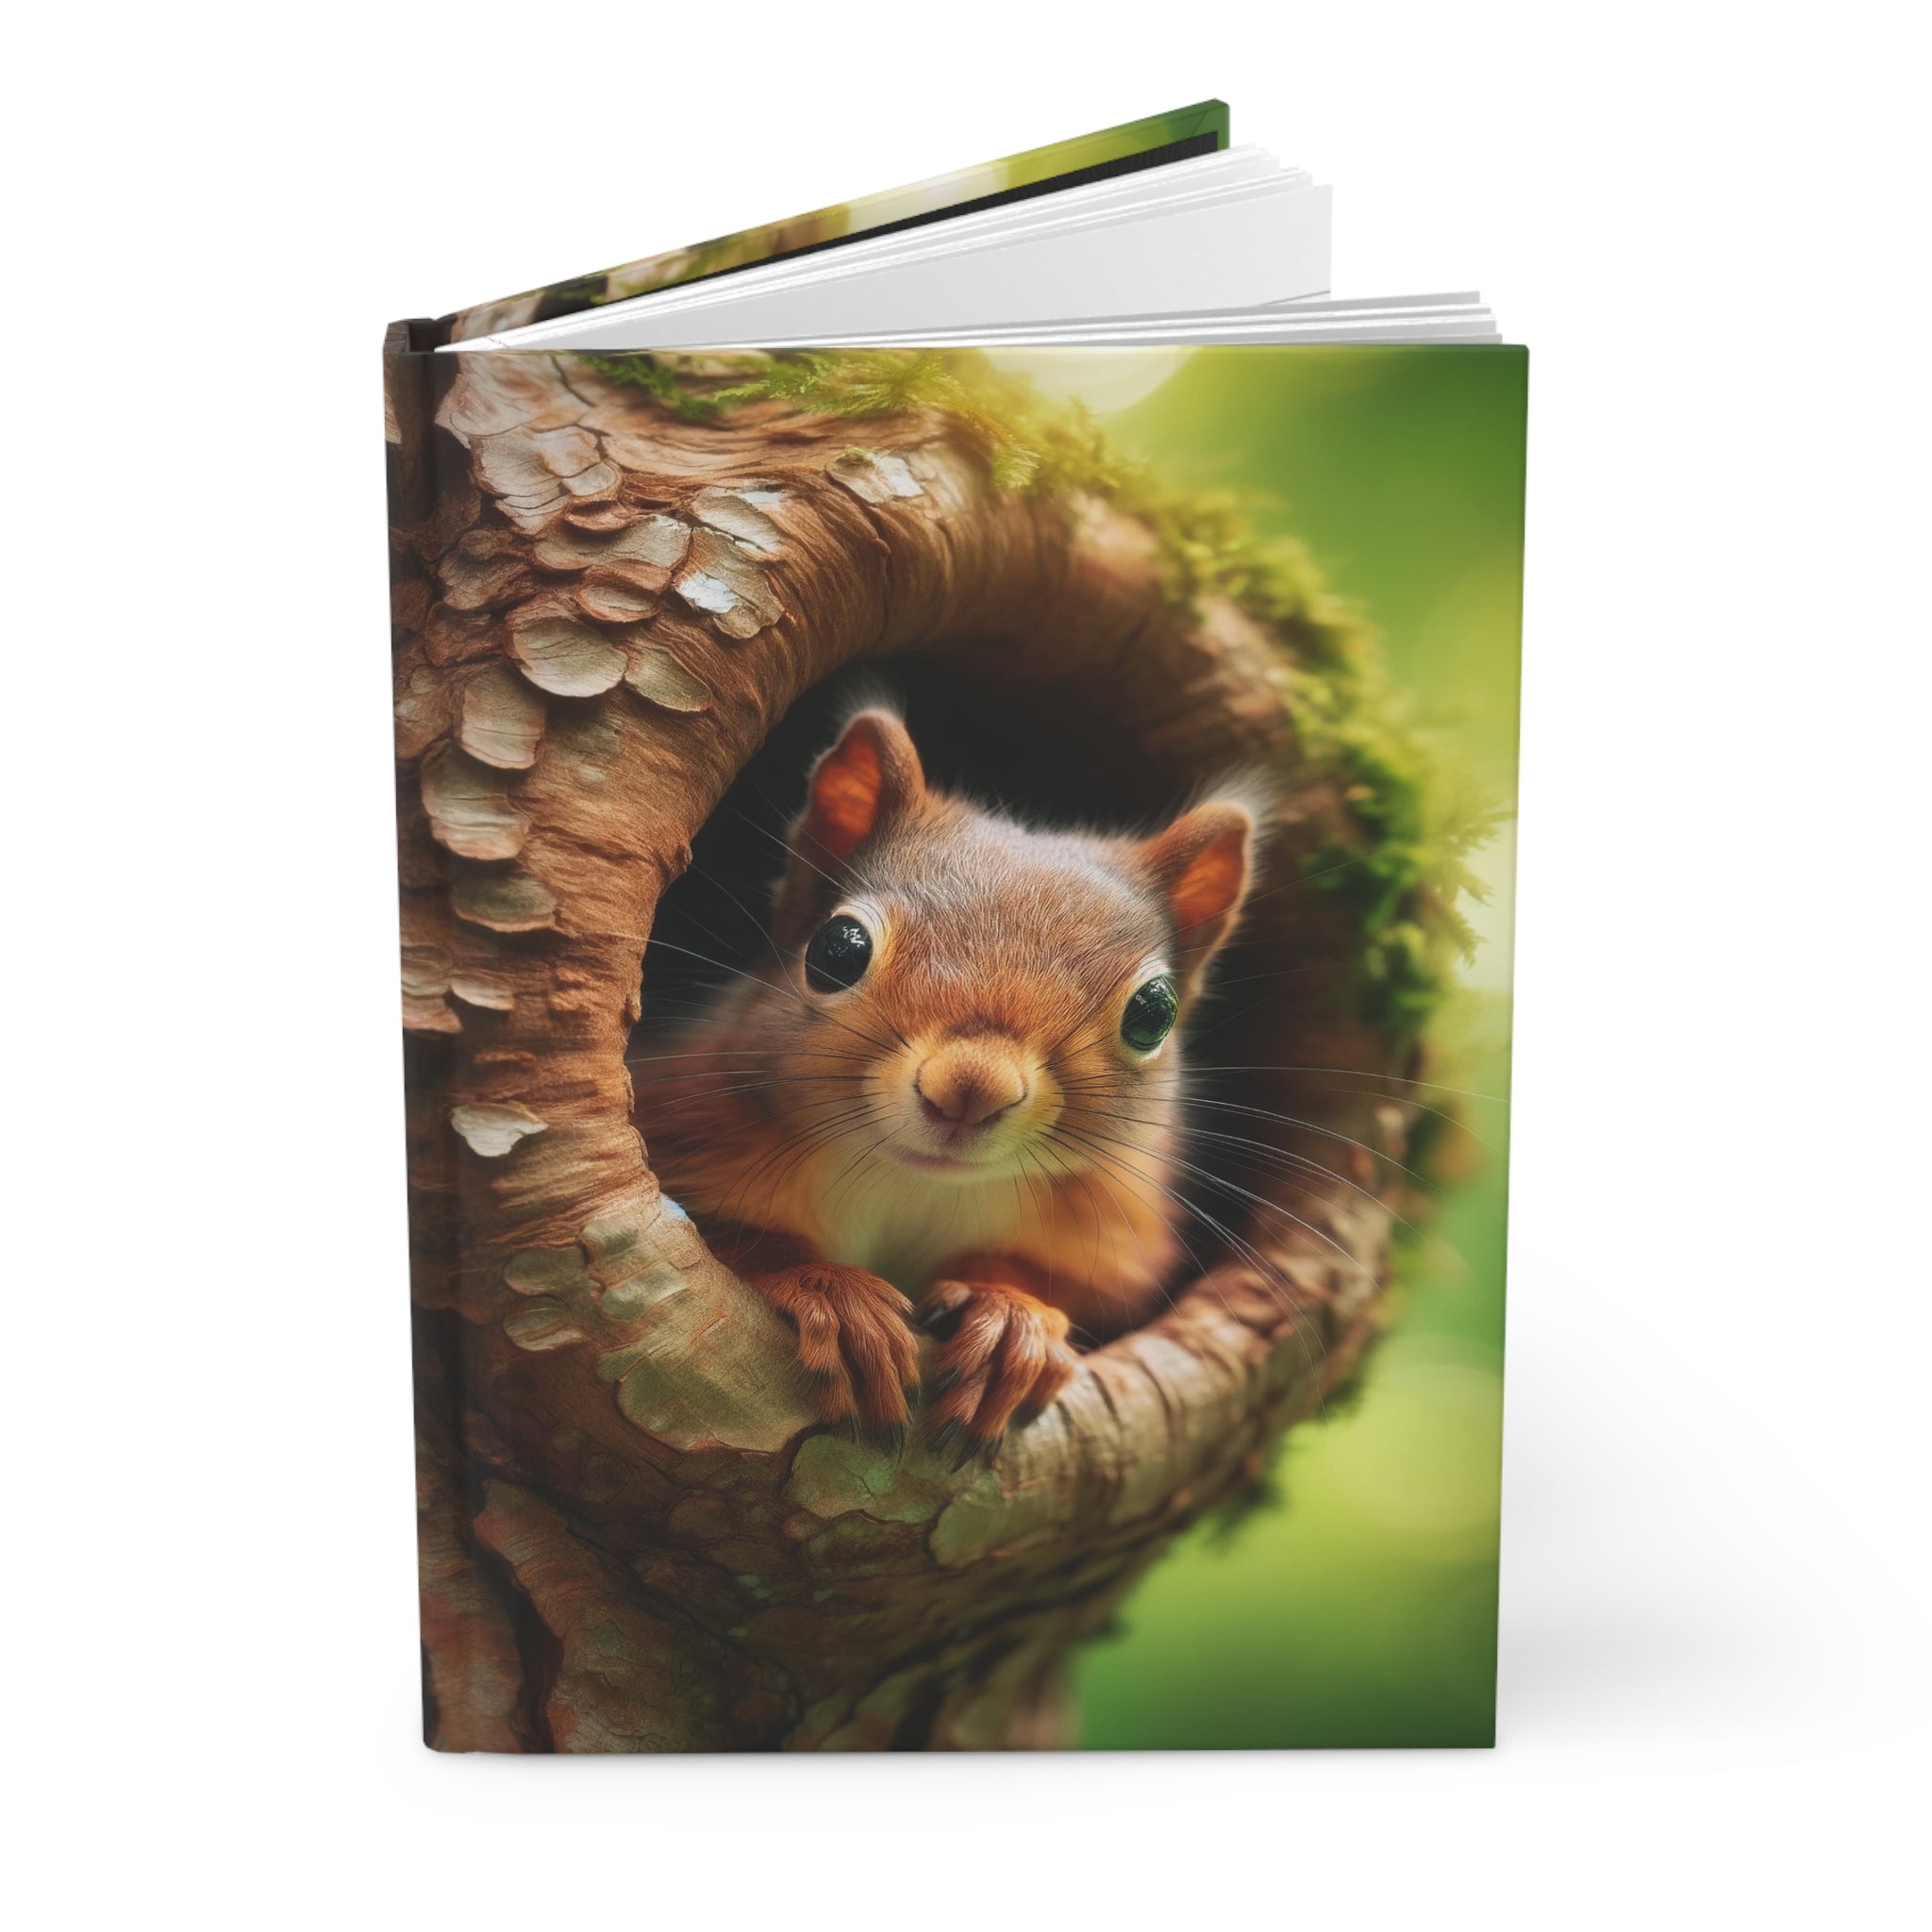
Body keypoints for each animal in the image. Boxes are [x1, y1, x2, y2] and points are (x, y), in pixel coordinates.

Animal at [632, 705, 1256, 1463]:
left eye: (1152, 1012)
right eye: (836, 949)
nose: (971, 1088)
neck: (917, 1186)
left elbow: (1065, 1286)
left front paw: (1010, 1318)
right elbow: (732, 1238)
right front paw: (836, 1295)